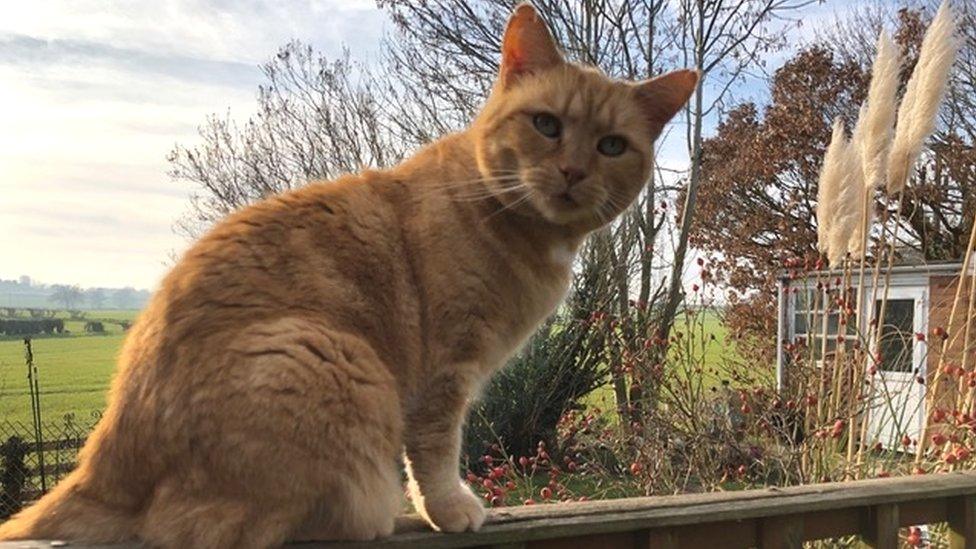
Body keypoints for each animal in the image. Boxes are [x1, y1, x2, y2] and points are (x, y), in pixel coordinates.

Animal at [3, 3, 696, 544]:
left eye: (611, 146)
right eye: (547, 124)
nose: (574, 172)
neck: (510, 218)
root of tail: (103, 461)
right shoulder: (444, 373)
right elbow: (436, 452)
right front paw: (450, 509)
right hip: (330, 358)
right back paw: (387, 517)